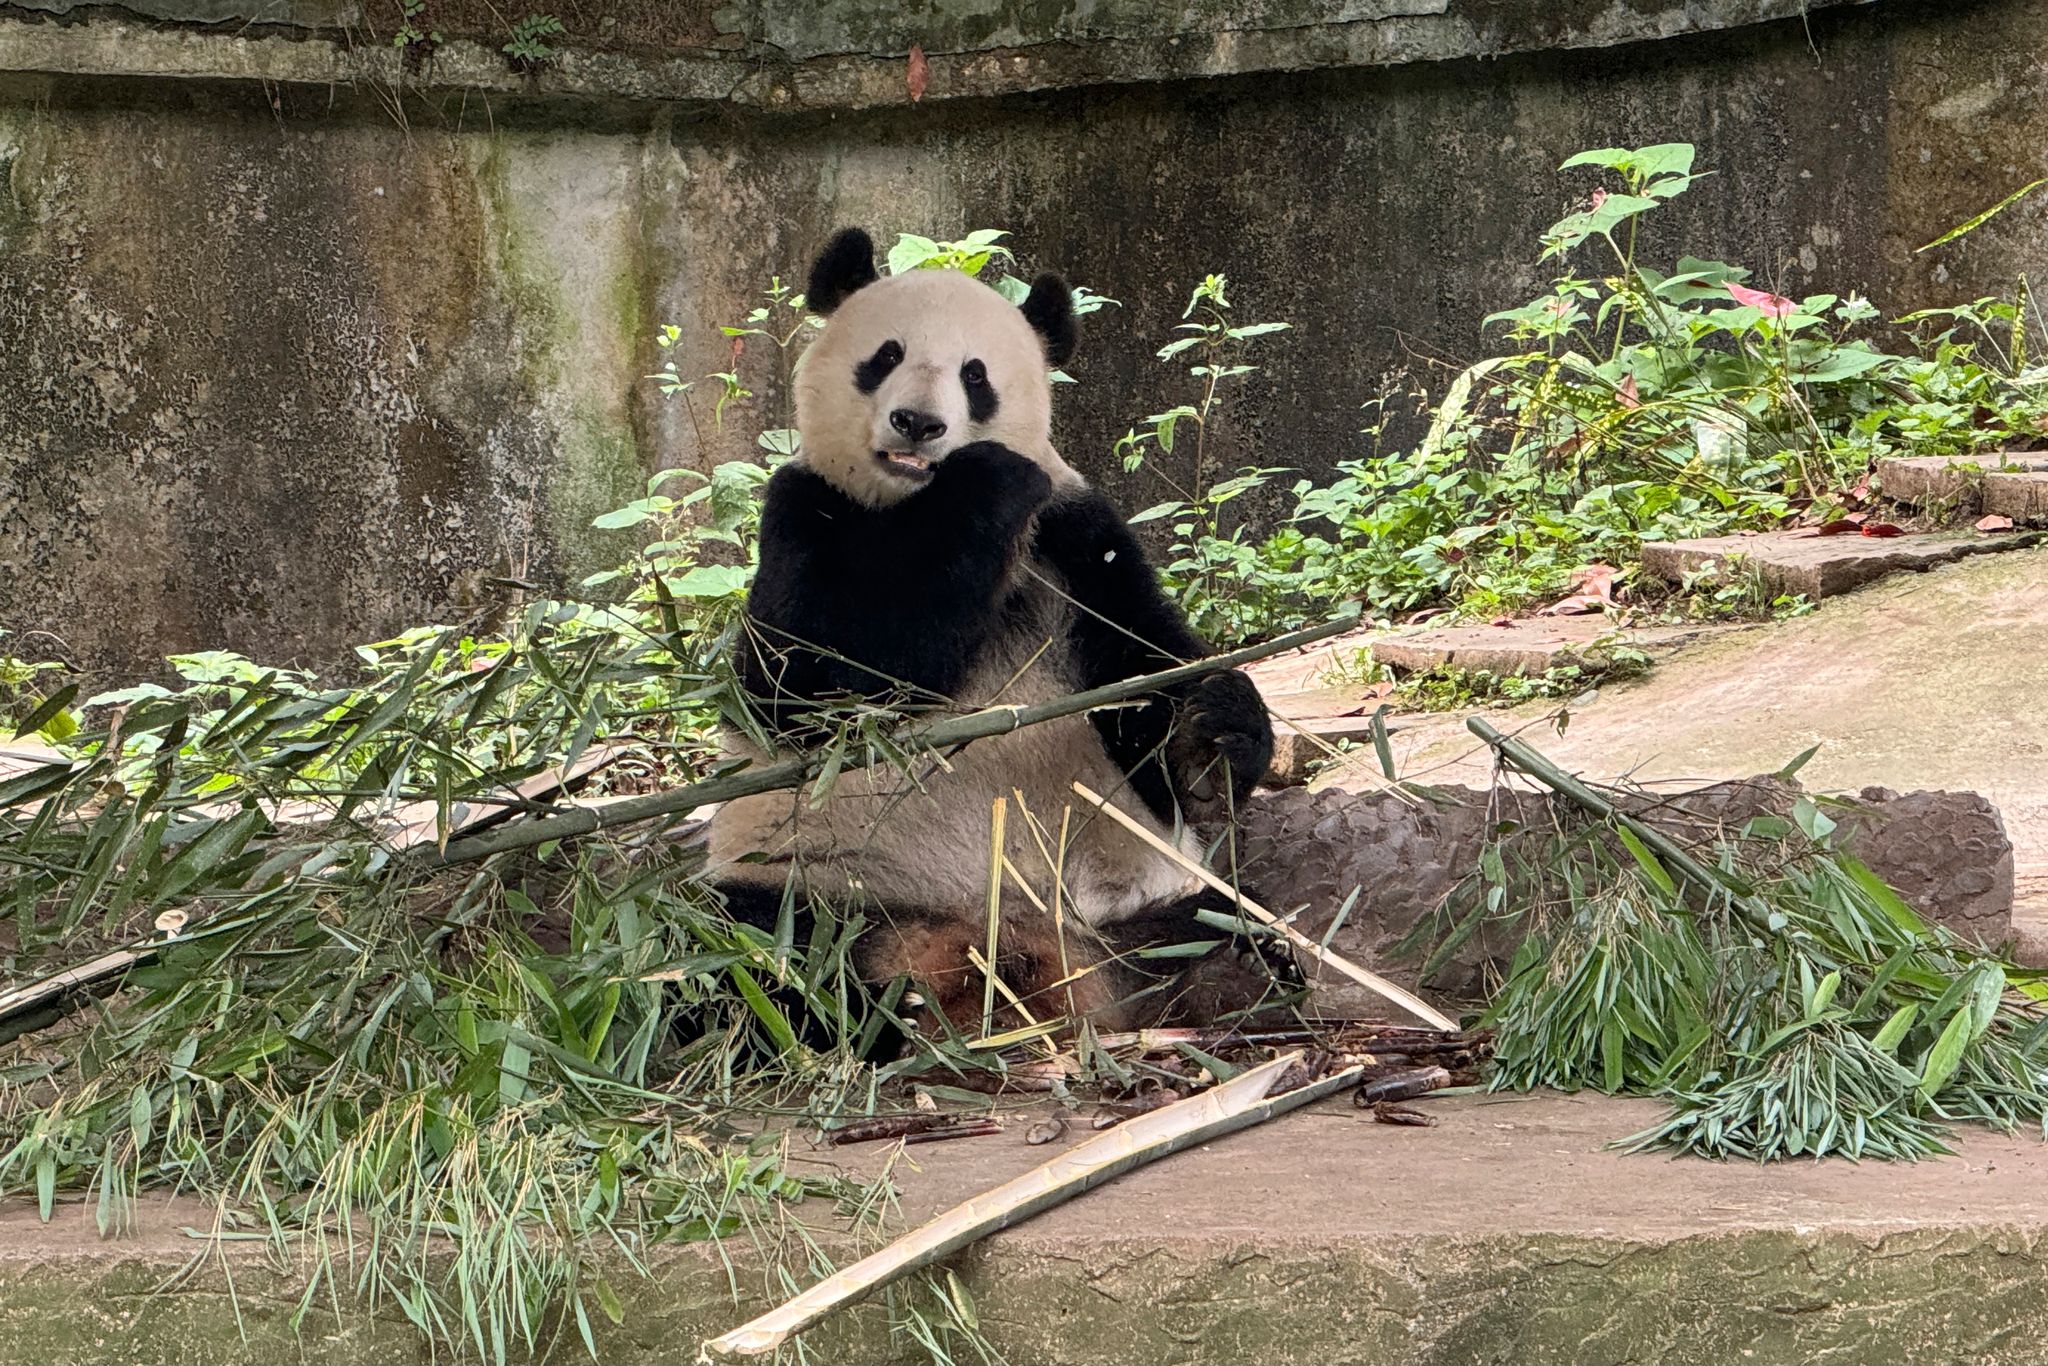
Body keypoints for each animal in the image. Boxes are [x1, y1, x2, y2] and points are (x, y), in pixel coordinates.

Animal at [704, 229, 1277, 1036]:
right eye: (886, 355)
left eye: (975, 375)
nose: (919, 423)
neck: (915, 505)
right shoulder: (805, 512)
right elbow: (811, 686)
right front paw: (984, 483)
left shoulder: (1076, 541)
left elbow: (1144, 669)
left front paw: (1213, 740)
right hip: (813, 882)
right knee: (749, 951)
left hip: (1135, 904)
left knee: (1225, 921)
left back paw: (1227, 975)